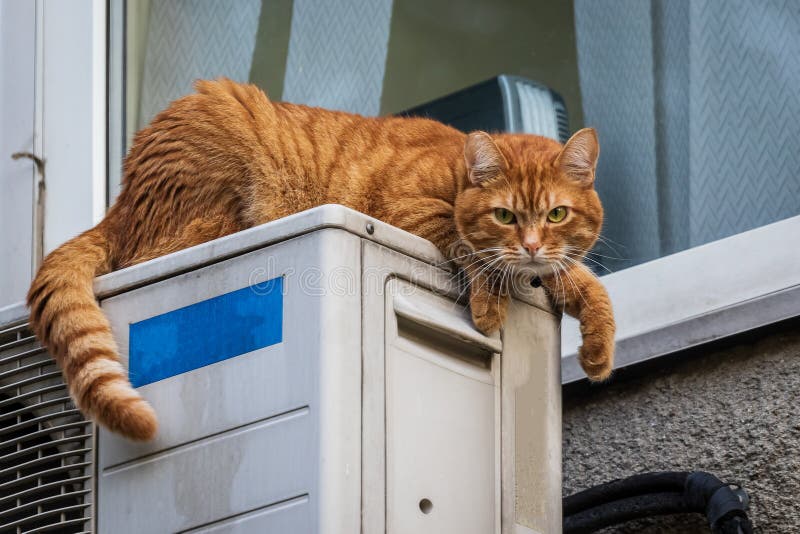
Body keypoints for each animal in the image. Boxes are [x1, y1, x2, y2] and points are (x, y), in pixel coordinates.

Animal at [23, 78, 612, 440]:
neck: (453, 171)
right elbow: (471, 246)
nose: (531, 244)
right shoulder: (410, 211)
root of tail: (119, 202)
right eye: (505, 216)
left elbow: (581, 279)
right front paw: (491, 302)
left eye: (556, 214)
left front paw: (598, 349)